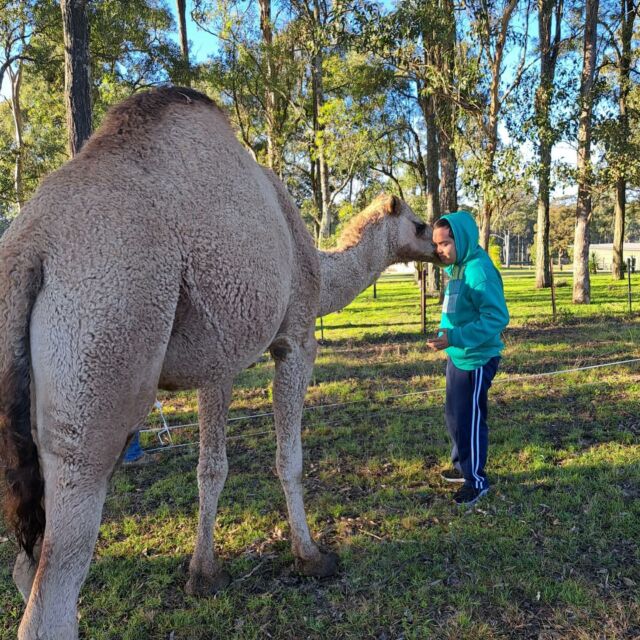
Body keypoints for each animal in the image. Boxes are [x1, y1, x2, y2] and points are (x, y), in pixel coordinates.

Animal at [0, 86, 436, 640]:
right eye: (418, 224)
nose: (441, 242)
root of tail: (28, 250)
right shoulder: (296, 336)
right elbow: (289, 459)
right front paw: (311, 556)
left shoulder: (218, 361)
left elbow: (211, 468)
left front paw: (203, 573)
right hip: (100, 359)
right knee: (50, 597)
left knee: (25, 564)